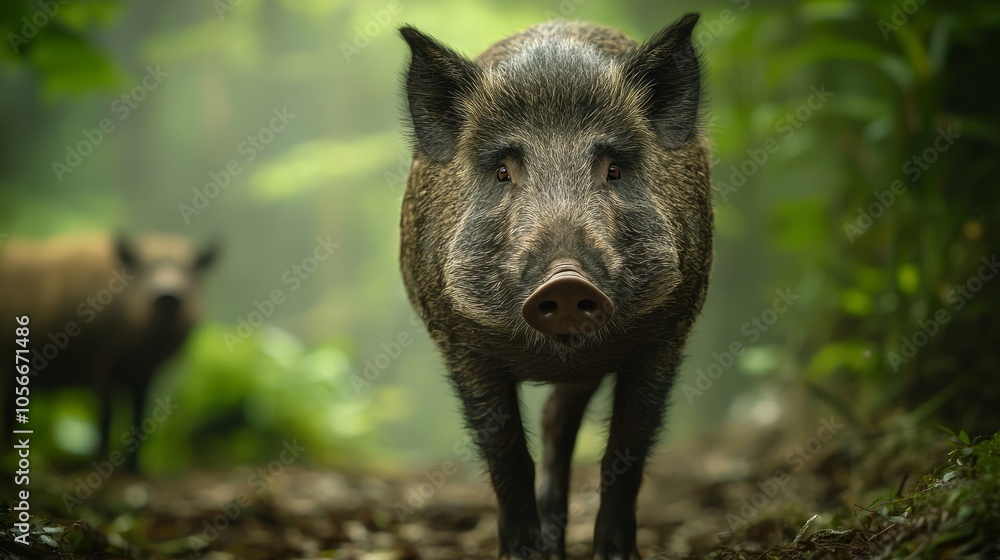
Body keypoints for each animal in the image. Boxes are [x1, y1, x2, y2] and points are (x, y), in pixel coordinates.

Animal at [1, 232, 217, 469]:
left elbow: (140, 414)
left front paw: (135, 468)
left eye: (188, 270)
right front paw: (101, 460)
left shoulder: (145, 374)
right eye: (145, 267)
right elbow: (105, 412)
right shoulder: (101, 360)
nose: (167, 294)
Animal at [399, 14, 712, 559]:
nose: (565, 280)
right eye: (503, 171)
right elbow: (505, 454)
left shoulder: (667, 331)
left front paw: (615, 554)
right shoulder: (460, 342)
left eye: (613, 169)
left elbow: (626, 448)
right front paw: (521, 552)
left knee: (556, 421)